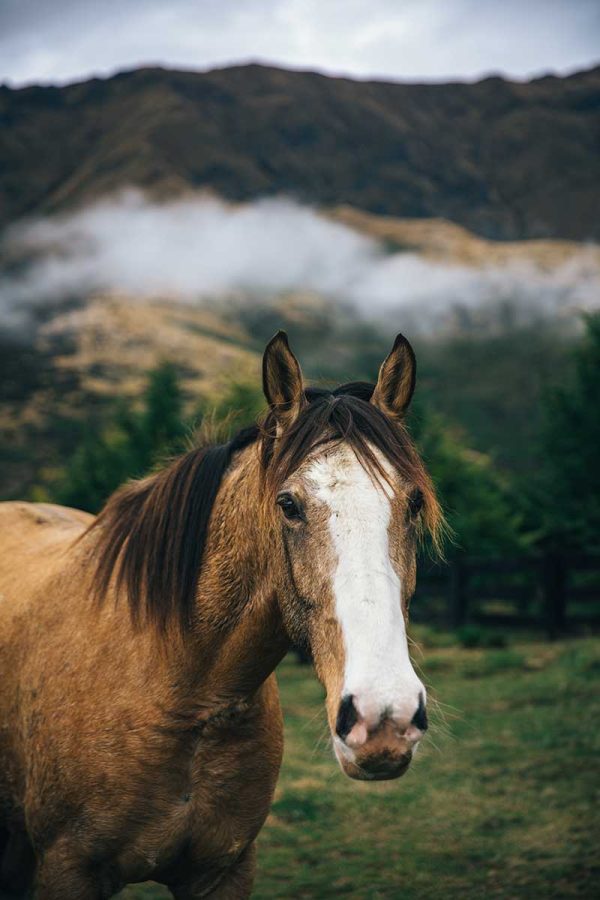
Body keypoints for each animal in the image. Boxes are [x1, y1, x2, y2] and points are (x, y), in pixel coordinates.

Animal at [0, 331, 442, 899]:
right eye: (288, 504)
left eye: (413, 504)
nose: (384, 717)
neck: (181, 695)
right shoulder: (66, 869)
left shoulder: (225, 870)